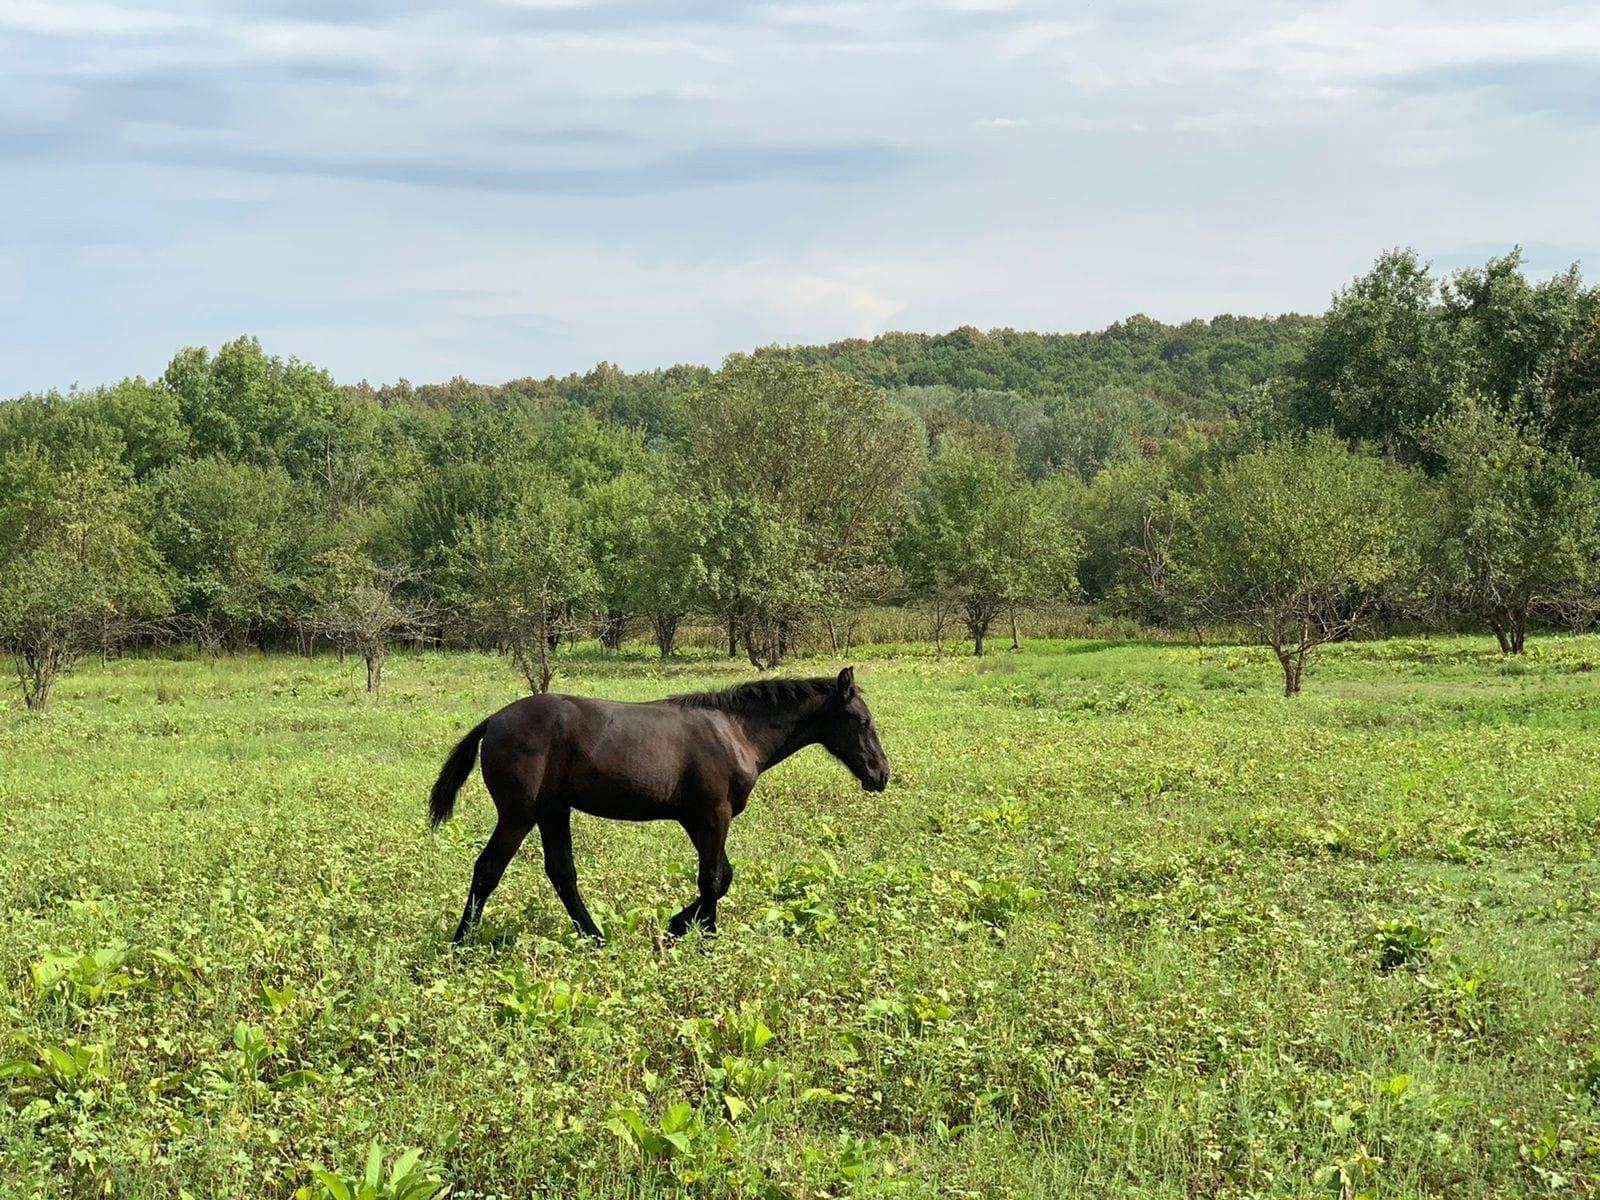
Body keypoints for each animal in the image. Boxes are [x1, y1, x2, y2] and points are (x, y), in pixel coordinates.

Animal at [428, 672, 889, 947]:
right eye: (863, 721)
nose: (881, 774)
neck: (735, 732)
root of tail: (493, 721)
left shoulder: (698, 819)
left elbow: (723, 877)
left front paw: (679, 924)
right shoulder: (713, 815)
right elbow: (712, 879)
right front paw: (702, 935)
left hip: (553, 812)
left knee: (561, 874)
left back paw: (595, 939)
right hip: (519, 815)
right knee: (488, 869)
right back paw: (460, 943)